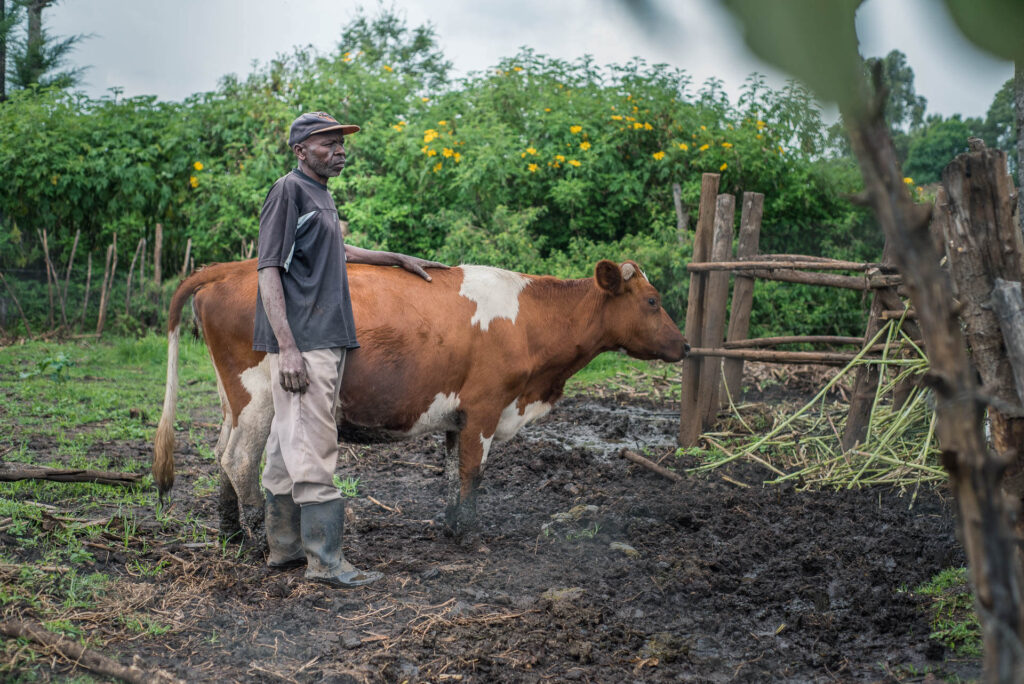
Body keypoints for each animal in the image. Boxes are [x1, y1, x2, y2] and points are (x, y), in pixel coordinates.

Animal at [151, 259, 692, 540]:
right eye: (652, 301)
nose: (686, 345)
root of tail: (232, 268)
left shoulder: (457, 415)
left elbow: (452, 472)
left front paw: (451, 524)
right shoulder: (485, 406)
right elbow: (473, 473)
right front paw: (468, 533)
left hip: (234, 399)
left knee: (222, 453)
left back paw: (229, 532)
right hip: (261, 394)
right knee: (239, 460)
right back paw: (259, 539)